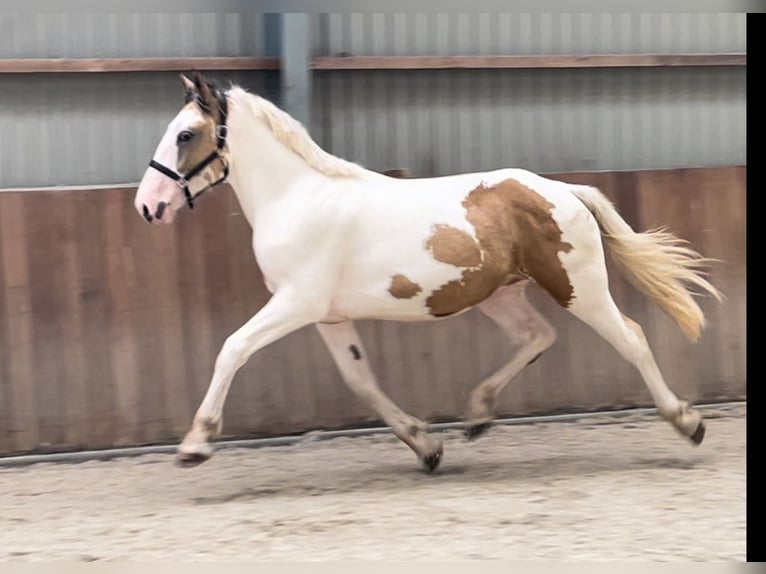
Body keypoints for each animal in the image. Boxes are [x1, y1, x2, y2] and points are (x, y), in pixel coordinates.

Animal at [134, 73, 728, 472]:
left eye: (185, 135)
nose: (147, 206)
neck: (299, 199)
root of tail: (562, 190)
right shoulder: (327, 316)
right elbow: (361, 380)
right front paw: (427, 447)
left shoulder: (296, 303)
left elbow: (232, 347)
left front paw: (195, 445)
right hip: (502, 294)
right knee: (537, 337)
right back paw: (477, 415)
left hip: (577, 286)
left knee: (631, 338)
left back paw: (689, 423)